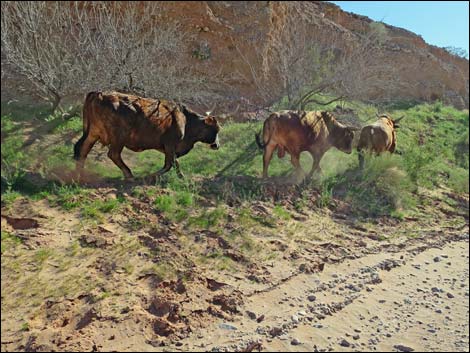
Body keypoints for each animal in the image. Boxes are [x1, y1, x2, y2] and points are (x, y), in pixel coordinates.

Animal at [73, 91, 220, 179]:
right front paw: (152, 176)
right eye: (216, 129)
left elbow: (175, 162)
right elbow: (169, 164)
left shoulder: (165, 147)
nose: (217, 145)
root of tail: (99, 94)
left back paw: (79, 174)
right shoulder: (170, 143)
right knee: (113, 154)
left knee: (83, 150)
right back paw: (129, 175)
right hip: (119, 137)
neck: (185, 119)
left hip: (93, 133)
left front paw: (182, 177)